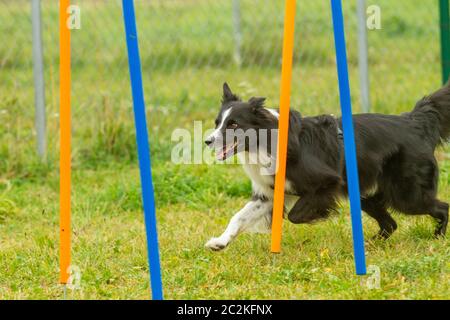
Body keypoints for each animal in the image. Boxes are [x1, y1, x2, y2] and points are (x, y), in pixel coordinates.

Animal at [205, 82, 450, 250]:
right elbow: (238, 217)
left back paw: (438, 238)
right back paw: (371, 244)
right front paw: (219, 242)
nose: (207, 141)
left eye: (234, 124)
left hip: (405, 193)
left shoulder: (328, 182)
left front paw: (318, 216)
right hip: (366, 194)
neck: (268, 142)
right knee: (390, 223)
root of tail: (414, 122)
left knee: (442, 207)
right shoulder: (268, 194)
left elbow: (295, 214)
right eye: (217, 123)